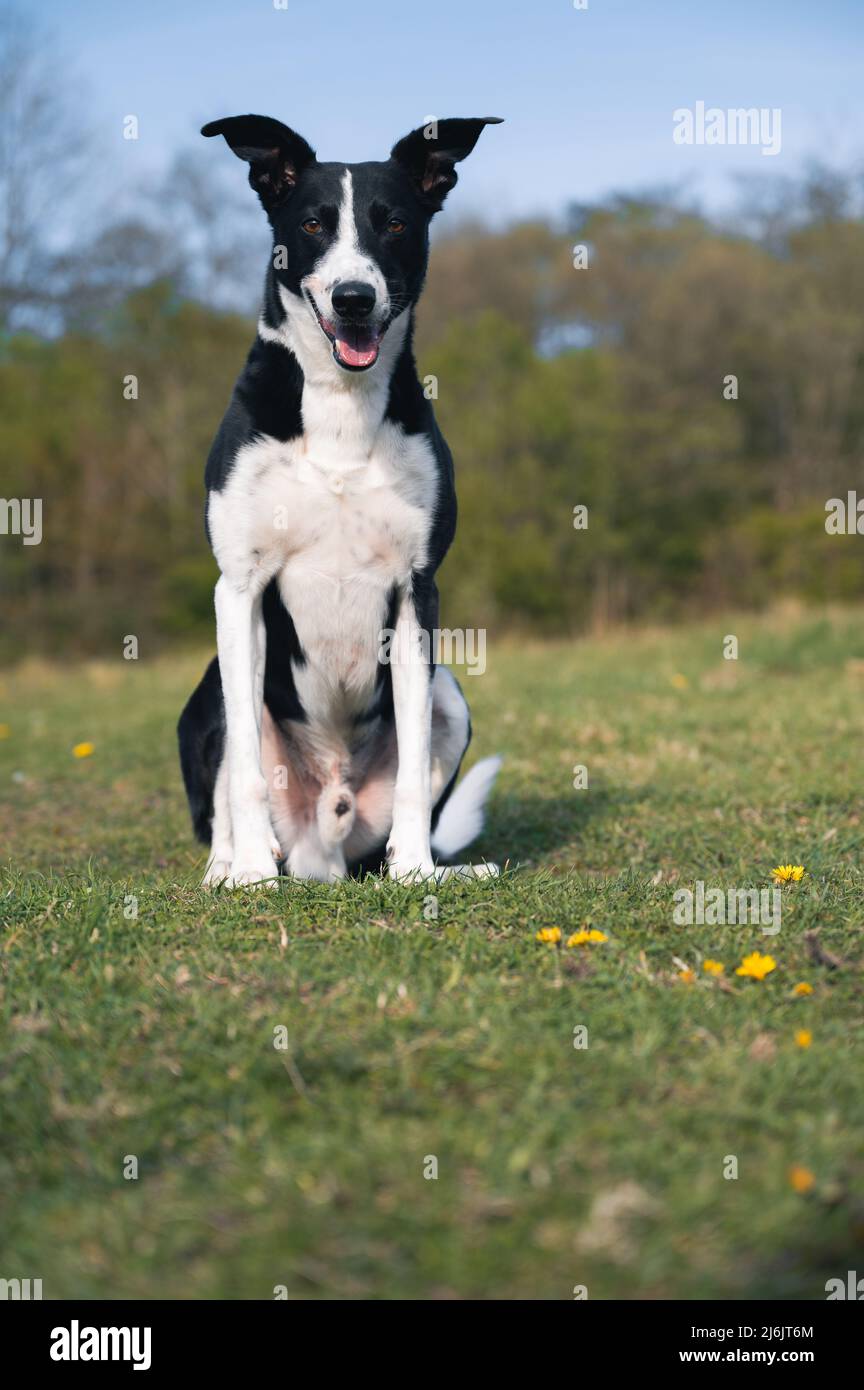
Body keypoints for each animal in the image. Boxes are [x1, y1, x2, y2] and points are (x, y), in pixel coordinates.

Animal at [179, 113, 505, 884]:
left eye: (395, 224)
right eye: (313, 224)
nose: (353, 297)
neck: (338, 401)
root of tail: (319, 848)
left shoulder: (417, 589)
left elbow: (413, 767)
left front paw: (417, 872)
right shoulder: (239, 587)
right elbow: (243, 767)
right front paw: (249, 874)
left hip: (451, 695)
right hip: (208, 689)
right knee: (229, 776)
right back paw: (231, 867)